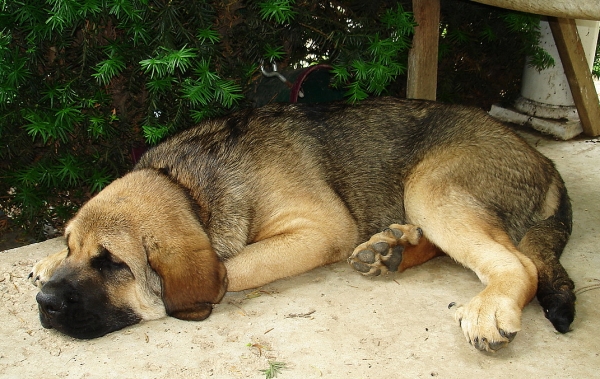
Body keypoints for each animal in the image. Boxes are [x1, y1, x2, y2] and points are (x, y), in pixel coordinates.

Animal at [30, 96, 576, 352]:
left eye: (112, 263)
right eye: (74, 246)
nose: (45, 304)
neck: (189, 188)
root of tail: (546, 162)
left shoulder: (319, 229)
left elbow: (230, 269)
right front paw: (46, 259)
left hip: (431, 187)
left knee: (520, 264)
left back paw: (489, 305)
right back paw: (393, 248)